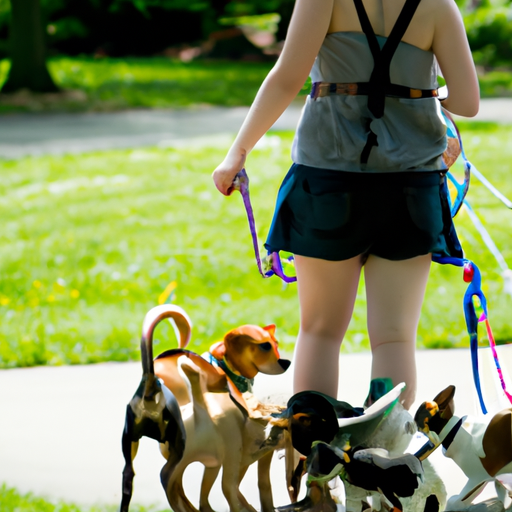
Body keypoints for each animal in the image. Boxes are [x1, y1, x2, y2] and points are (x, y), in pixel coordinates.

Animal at [117, 304, 290, 512]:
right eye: (265, 346)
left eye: (276, 343)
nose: (286, 363)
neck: (222, 364)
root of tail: (150, 383)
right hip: (184, 446)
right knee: (172, 477)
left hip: (133, 443)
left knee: (135, 478)